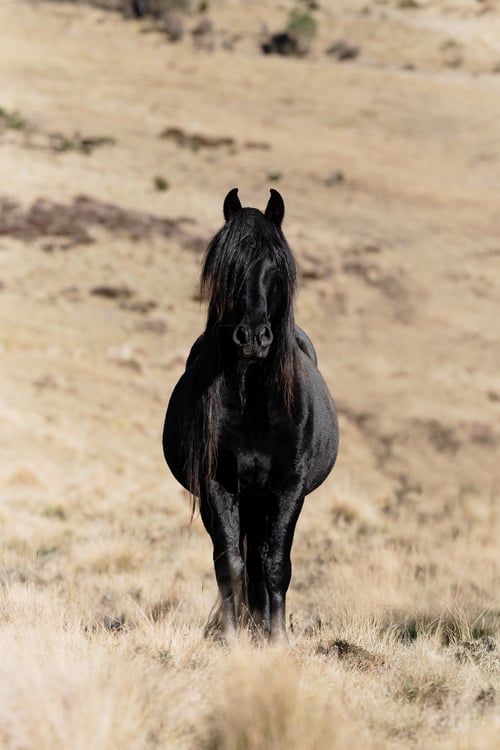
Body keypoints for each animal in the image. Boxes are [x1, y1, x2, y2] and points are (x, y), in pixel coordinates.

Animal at [163, 188, 338, 642]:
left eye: (274, 266)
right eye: (230, 266)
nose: (253, 337)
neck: (254, 402)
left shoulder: (288, 487)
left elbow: (275, 565)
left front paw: (276, 639)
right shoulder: (217, 484)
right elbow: (230, 564)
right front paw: (232, 638)